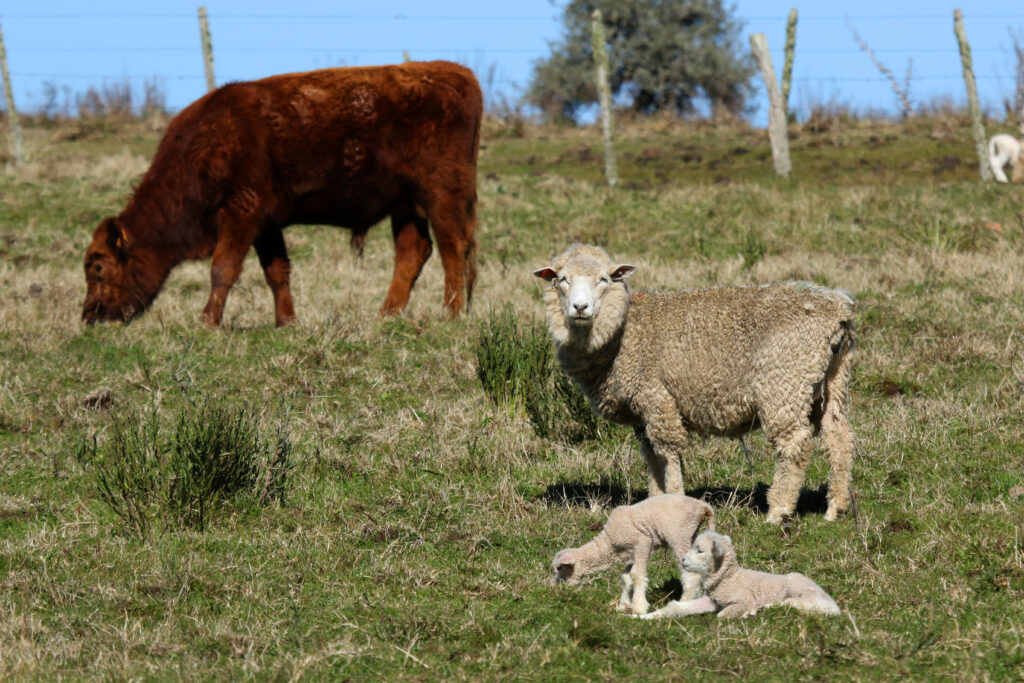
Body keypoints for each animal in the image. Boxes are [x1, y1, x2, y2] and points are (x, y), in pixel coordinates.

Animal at [81, 60, 481, 327]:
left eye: (98, 267)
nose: (91, 316)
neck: (210, 142)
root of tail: (456, 73)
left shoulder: (241, 215)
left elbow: (223, 268)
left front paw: (208, 322)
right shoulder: (266, 225)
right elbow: (277, 271)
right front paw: (286, 322)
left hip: (441, 194)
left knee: (453, 247)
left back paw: (450, 313)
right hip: (406, 203)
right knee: (413, 252)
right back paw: (386, 315)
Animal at [536, 244, 856, 524]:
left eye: (603, 279)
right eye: (561, 280)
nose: (580, 307)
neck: (623, 329)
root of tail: (838, 308)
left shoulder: (656, 396)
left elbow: (668, 452)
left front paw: (674, 500)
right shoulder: (643, 410)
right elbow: (652, 456)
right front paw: (655, 499)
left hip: (783, 381)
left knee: (794, 444)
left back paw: (779, 510)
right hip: (832, 379)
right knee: (838, 436)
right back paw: (836, 508)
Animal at [552, 493, 712, 618]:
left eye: (559, 568)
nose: (552, 587)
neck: (609, 544)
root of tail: (702, 505)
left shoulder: (642, 542)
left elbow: (637, 574)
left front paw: (639, 607)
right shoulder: (631, 553)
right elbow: (626, 577)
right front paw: (623, 605)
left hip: (679, 534)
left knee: (691, 574)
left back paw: (684, 602)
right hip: (691, 534)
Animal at [638, 532, 839, 622]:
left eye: (700, 550)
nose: (683, 560)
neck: (729, 578)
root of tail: (833, 603)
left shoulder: (741, 599)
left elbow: (722, 616)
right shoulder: (713, 600)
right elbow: (677, 607)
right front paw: (644, 616)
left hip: (802, 592)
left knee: (800, 605)